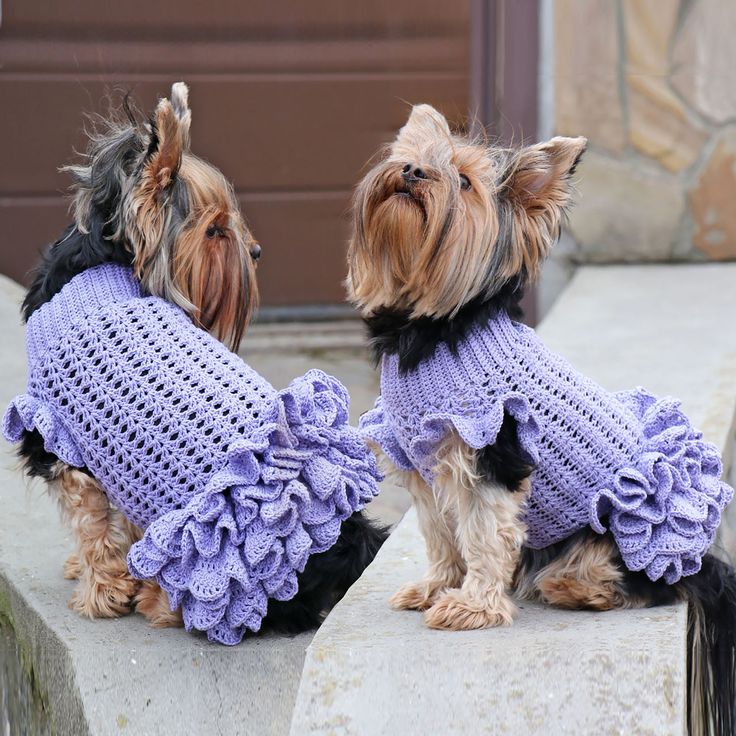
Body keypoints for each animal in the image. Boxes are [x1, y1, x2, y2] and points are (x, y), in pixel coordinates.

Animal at [8, 83, 386, 640]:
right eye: (215, 231)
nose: (256, 250)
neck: (99, 262)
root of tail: (344, 543)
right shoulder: (120, 461)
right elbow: (119, 521)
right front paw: (107, 578)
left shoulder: (62, 436)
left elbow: (92, 524)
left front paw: (100, 595)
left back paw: (159, 603)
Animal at [348, 106, 736, 732]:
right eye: (418, 158)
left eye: (464, 182)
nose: (409, 171)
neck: (434, 329)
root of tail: (704, 564)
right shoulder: (425, 460)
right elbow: (441, 535)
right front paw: (437, 587)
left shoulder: (491, 450)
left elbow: (482, 534)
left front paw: (472, 606)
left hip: (620, 531)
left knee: (636, 581)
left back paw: (575, 587)